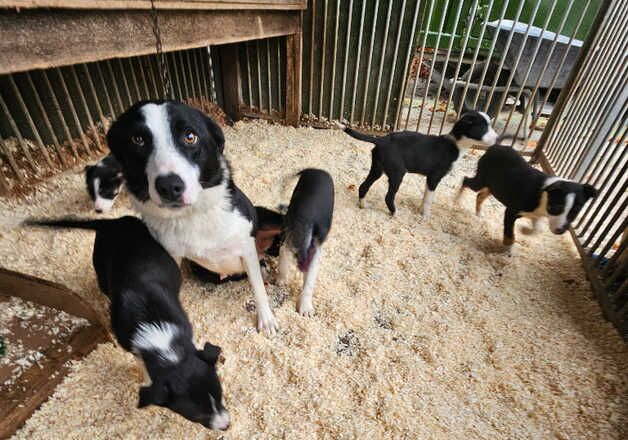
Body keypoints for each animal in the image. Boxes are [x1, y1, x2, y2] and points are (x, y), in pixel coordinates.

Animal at [25, 217, 231, 430]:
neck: (164, 343)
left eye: (220, 396)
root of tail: (113, 221)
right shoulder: (131, 345)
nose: (227, 425)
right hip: (100, 266)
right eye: (197, 415)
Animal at [106, 99, 278, 334]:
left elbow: (258, 286)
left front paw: (267, 319)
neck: (192, 215)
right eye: (137, 140)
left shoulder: (246, 247)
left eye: (190, 136)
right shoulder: (172, 255)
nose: (169, 186)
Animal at [344, 111, 496, 218]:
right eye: (483, 128)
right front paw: (426, 216)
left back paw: (363, 205)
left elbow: (425, 196)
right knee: (388, 196)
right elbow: (428, 199)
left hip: (377, 169)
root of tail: (381, 140)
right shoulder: (434, 177)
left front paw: (420, 211)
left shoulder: (429, 179)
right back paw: (395, 213)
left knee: (363, 186)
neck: (455, 144)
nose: (497, 138)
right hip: (397, 173)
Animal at [462, 145, 600, 246]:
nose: (560, 230)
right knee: (465, 181)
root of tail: (494, 146)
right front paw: (507, 245)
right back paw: (459, 199)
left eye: (576, 210)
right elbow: (509, 233)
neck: (543, 197)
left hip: (494, 186)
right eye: (557, 207)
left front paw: (525, 231)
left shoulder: (536, 215)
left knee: (480, 195)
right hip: (481, 180)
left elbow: (537, 229)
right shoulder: (511, 211)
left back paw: (478, 213)